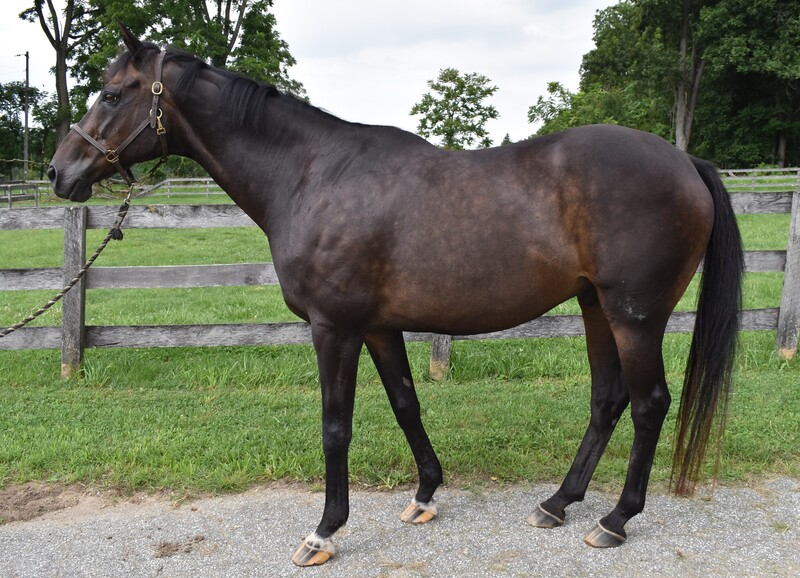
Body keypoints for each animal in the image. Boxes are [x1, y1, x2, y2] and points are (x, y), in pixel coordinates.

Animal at [48, 27, 744, 564]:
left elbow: (336, 426)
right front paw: (424, 494)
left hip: (635, 316)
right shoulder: (379, 327)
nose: (60, 172)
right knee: (608, 400)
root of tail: (685, 164)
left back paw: (615, 520)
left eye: (112, 93)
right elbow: (407, 405)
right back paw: (557, 504)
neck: (312, 174)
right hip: (595, 306)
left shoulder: (333, 327)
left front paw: (324, 531)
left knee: (650, 404)